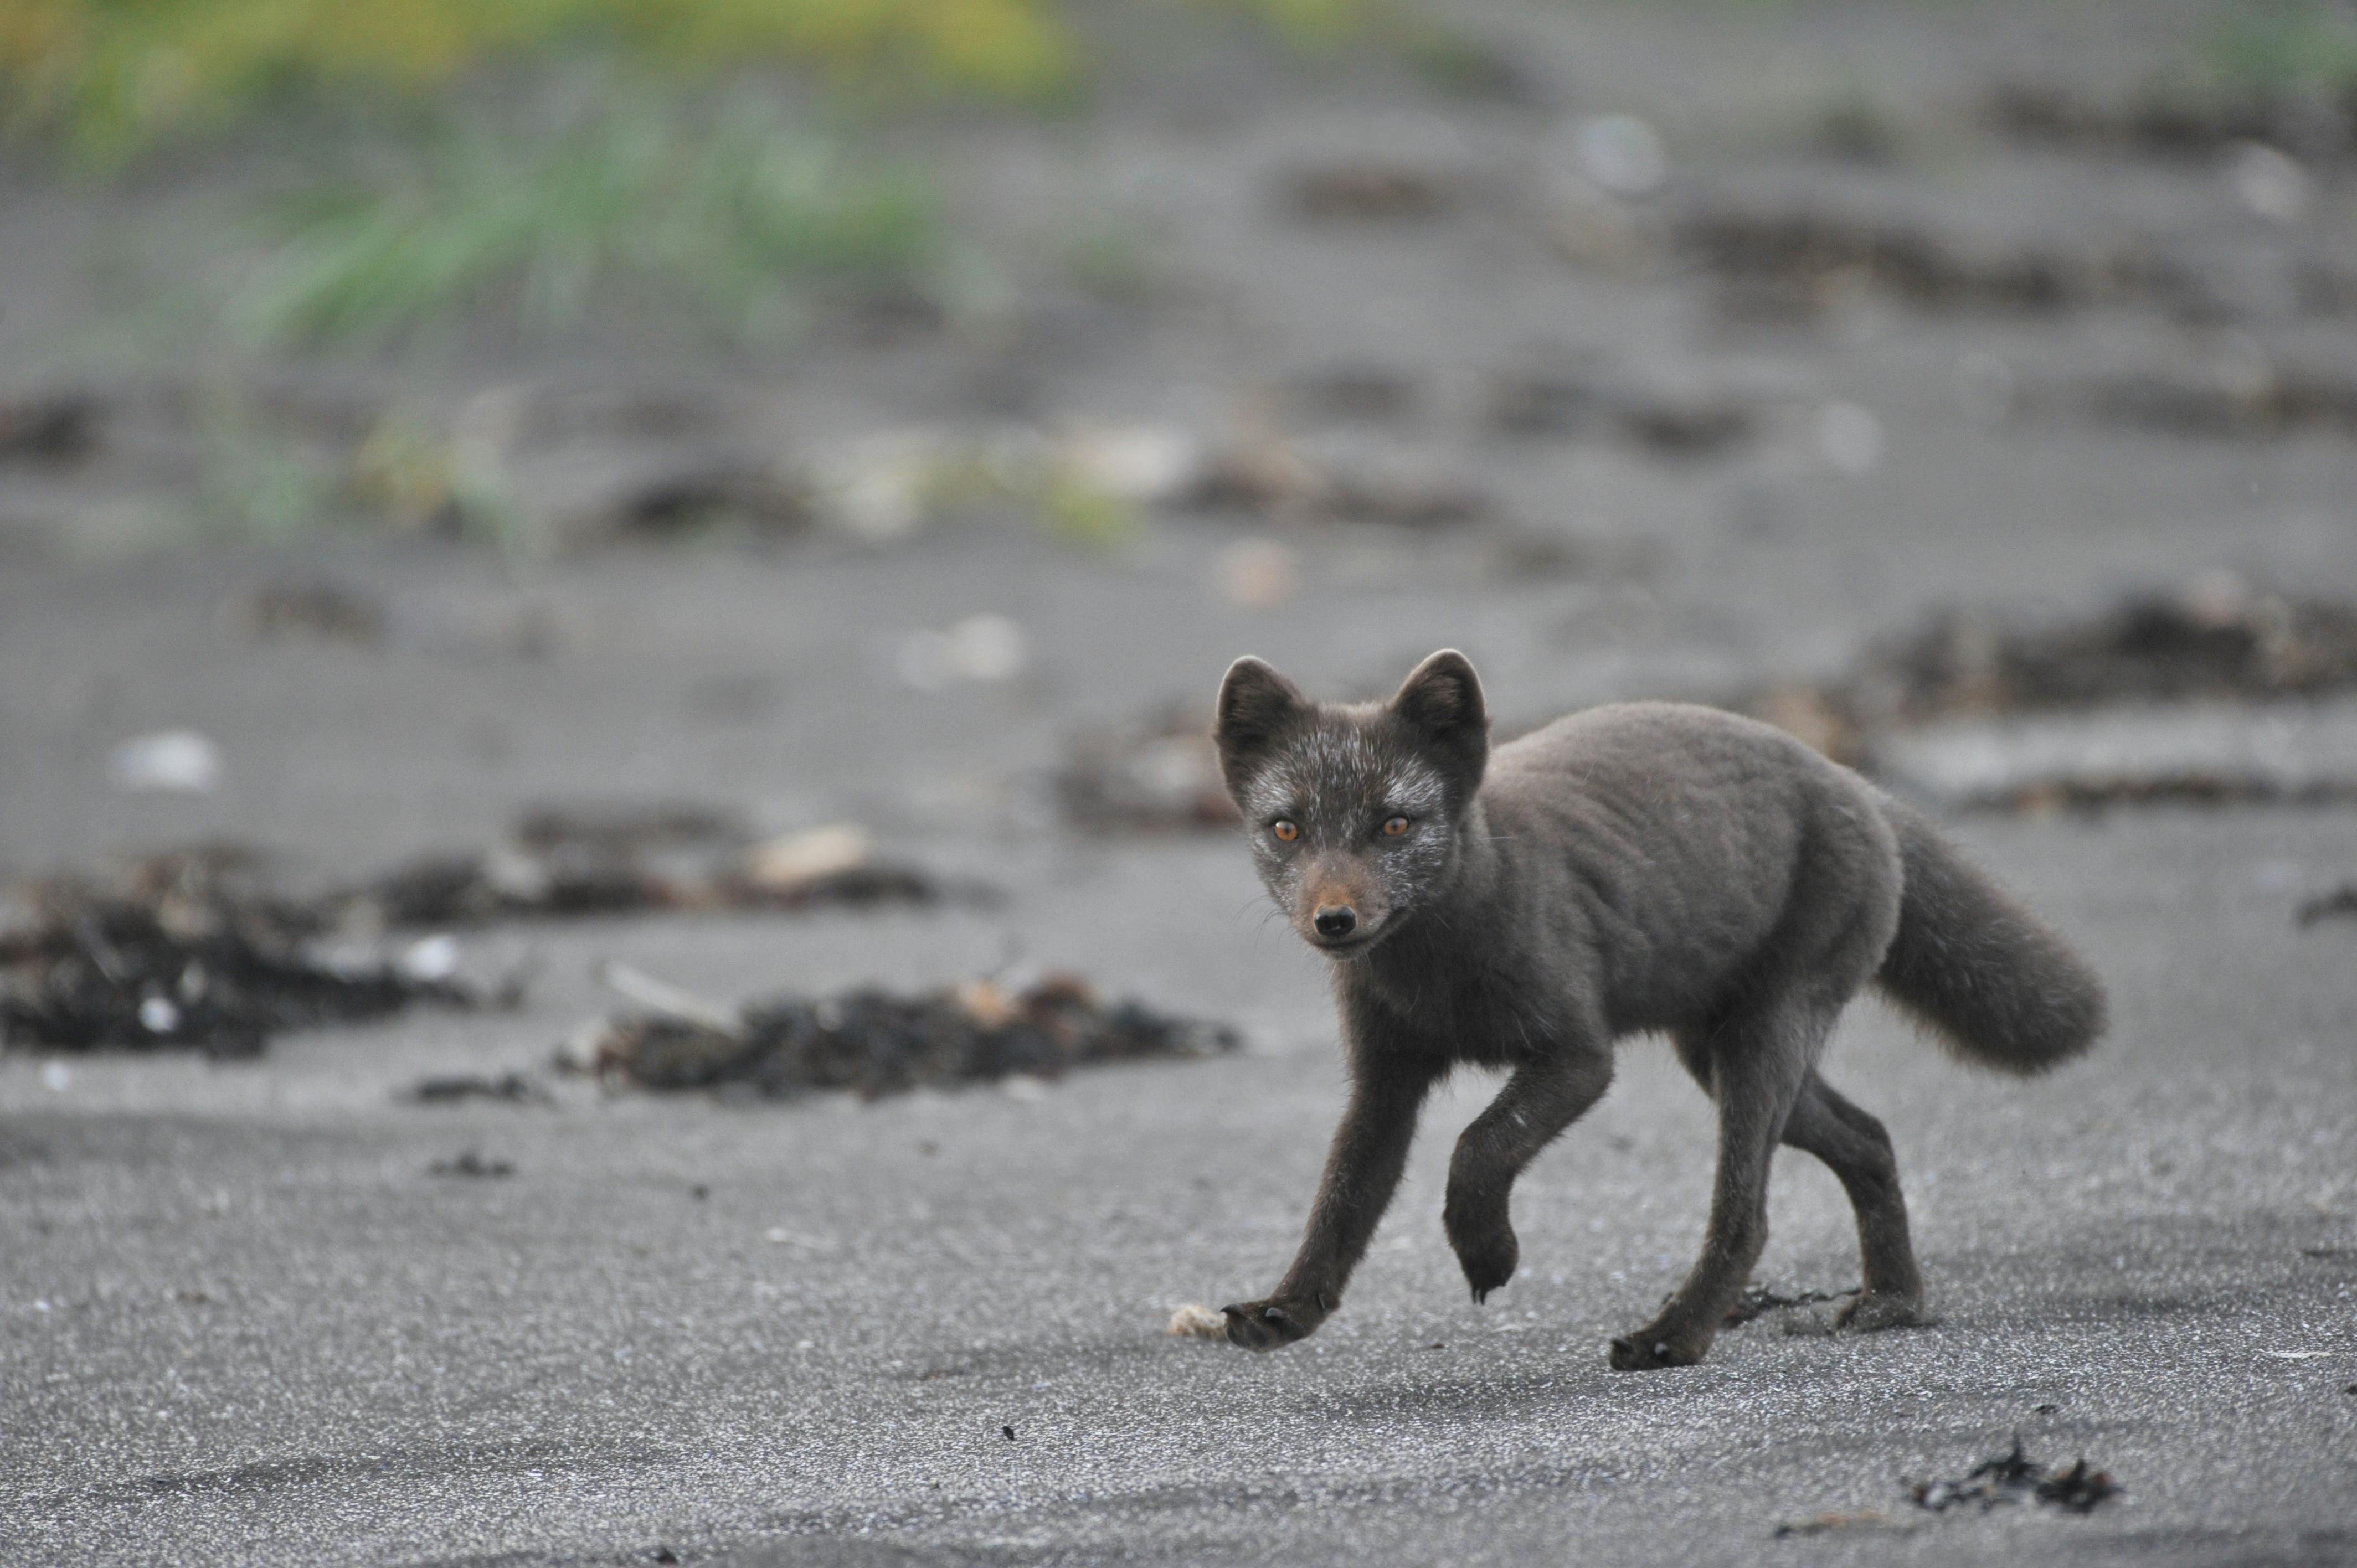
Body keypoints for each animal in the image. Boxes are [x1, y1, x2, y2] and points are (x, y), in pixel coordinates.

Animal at [1216, 641, 2102, 1368]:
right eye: (1287, 829)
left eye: (1395, 825)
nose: (1334, 921)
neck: (1436, 976)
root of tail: (1858, 784)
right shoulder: (1386, 1078)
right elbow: (1341, 1201)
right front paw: (1288, 1310)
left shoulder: (1578, 1053)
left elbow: (1478, 1146)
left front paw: (1488, 1254)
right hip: (1717, 1053)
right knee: (1870, 1138)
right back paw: (1892, 1303)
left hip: (1761, 1040)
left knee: (1749, 1215)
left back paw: (1672, 1337)